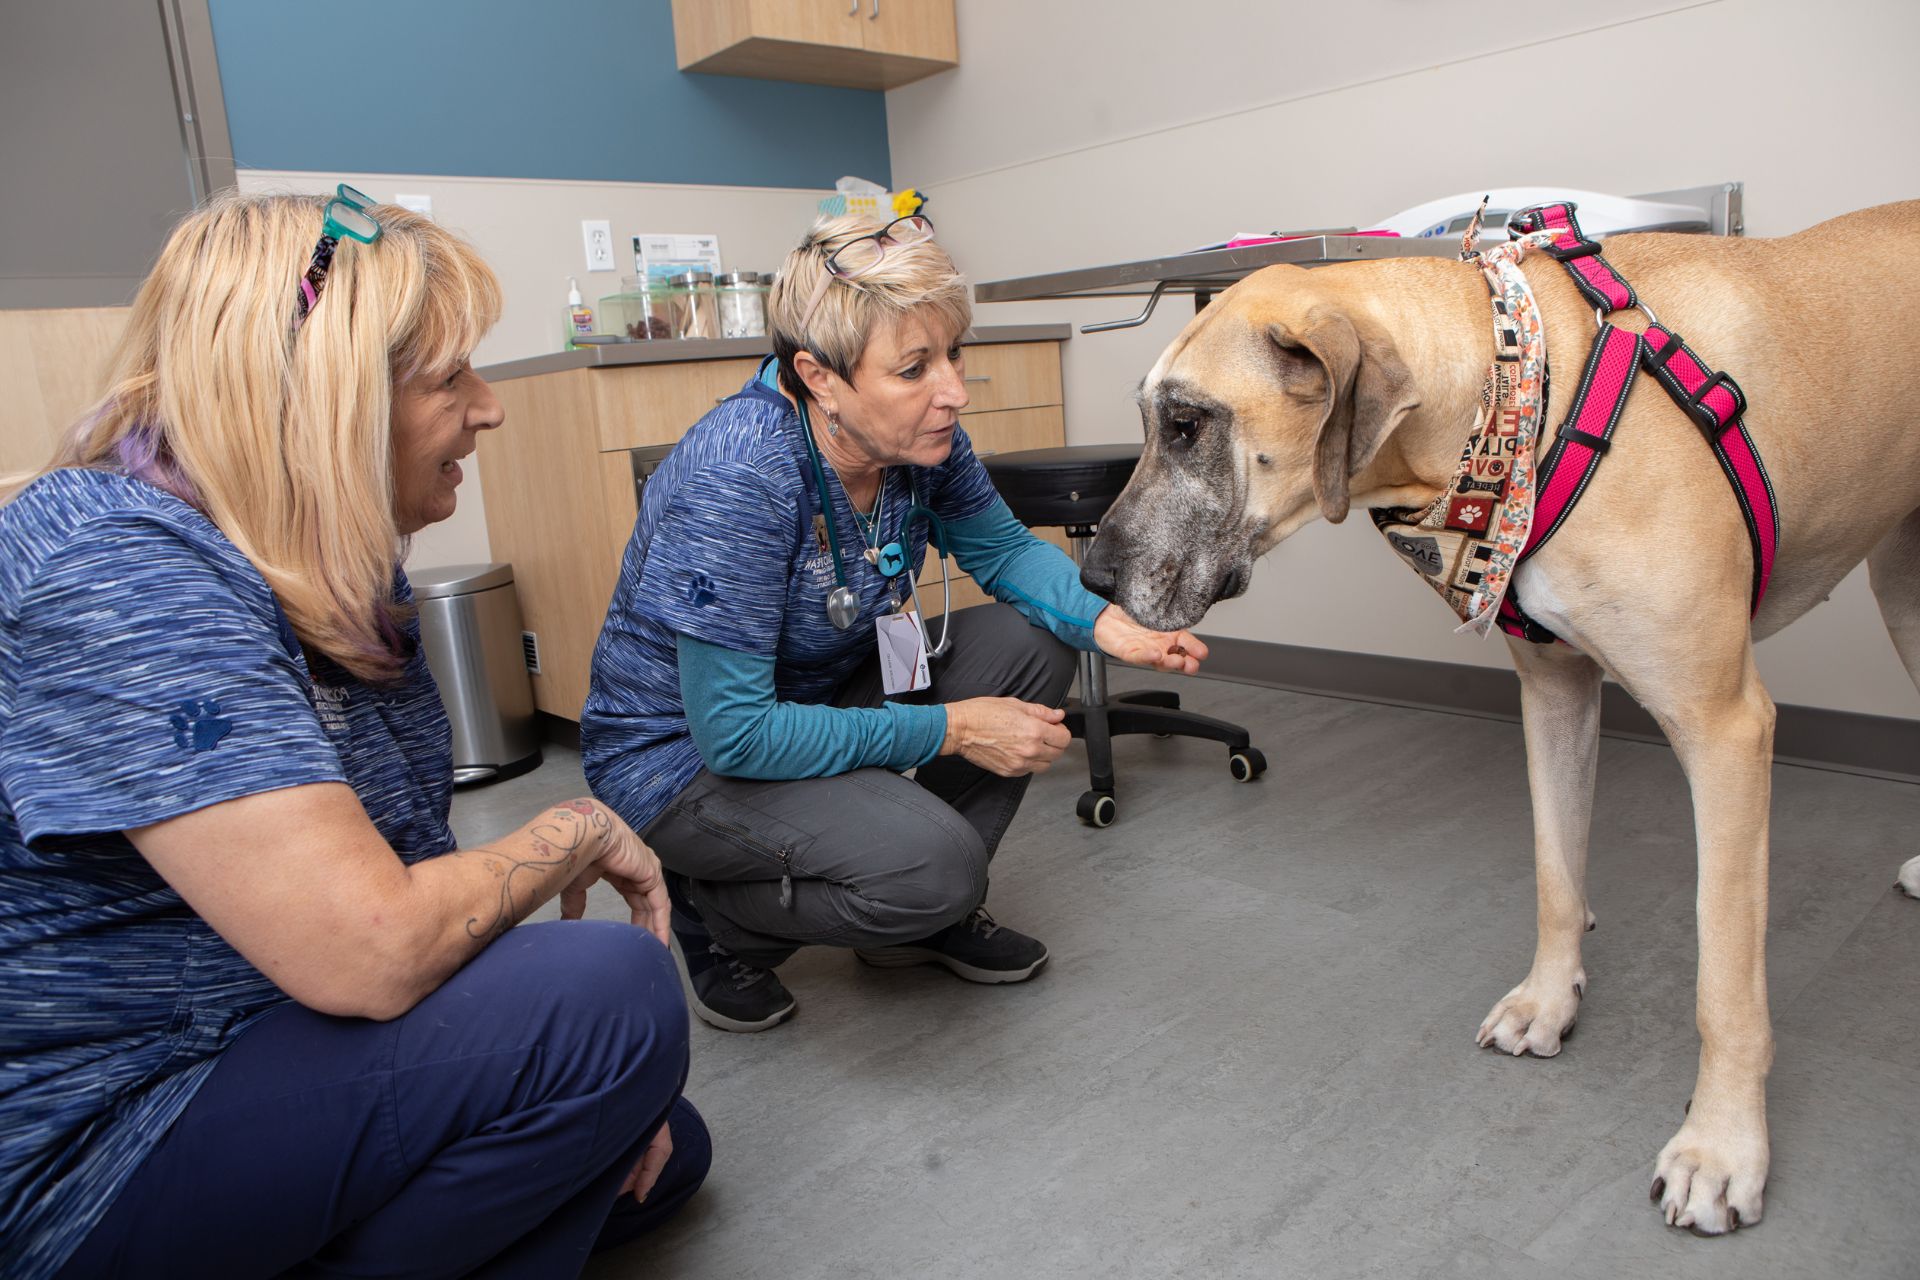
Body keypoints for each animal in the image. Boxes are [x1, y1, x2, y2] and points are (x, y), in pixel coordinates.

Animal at [1082, 205, 1920, 1235]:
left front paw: (1722, 1147)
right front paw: (1548, 1003)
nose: (1091, 578)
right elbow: (1557, 873)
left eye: (1188, 424)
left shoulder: (1724, 729)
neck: (1520, 390)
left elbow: (1724, 979)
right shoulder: (1556, 694)